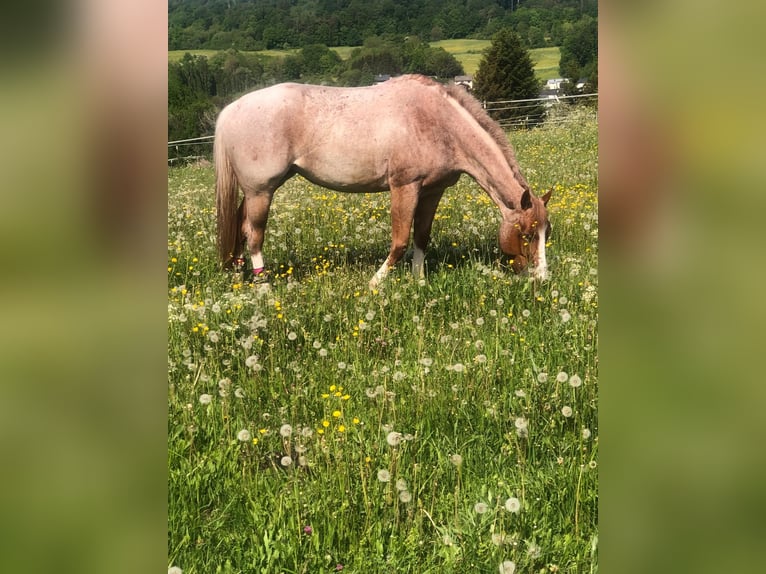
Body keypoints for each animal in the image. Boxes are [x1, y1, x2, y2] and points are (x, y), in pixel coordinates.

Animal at [214, 74, 552, 288]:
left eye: (545, 232)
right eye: (526, 234)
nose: (542, 279)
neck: (438, 122)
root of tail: (230, 110)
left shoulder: (433, 192)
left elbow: (421, 237)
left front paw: (419, 282)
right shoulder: (404, 187)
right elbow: (400, 241)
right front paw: (375, 283)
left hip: (258, 191)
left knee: (240, 226)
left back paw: (238, 277)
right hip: (261, 191)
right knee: (254, 234)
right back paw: (263, 286)